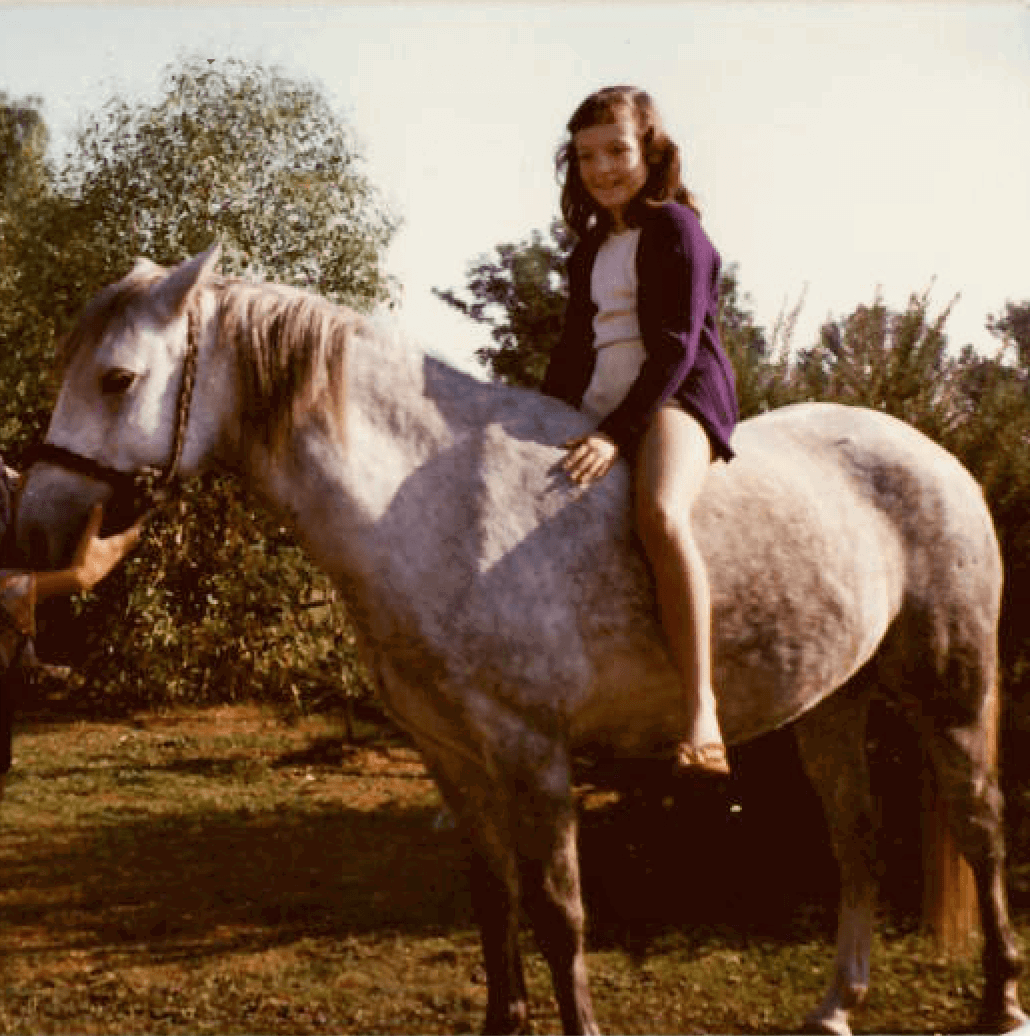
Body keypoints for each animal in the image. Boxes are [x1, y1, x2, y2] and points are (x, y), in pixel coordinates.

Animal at [14, 245, 1026, 1035]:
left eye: (117, 378)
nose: (35, 531)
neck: (429, 502)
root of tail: (933, 454)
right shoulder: (452, 757)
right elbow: (494, 906)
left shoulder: (532, 754)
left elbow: (558, 914)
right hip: (832, 705)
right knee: (858, 841)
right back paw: (838, 1003)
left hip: (952, 688)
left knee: (979, 827)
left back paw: (1002, 1002)